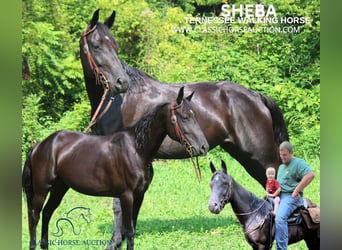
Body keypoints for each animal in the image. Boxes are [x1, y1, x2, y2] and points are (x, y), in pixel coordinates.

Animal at [22, 86, 208, 250]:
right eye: (184, 117)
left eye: (193, 116)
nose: (203, 147)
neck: (136, 150)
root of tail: (40, 145)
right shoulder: (126, 196)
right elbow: (129, 231)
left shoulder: (139, 195)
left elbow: (132, 229)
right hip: (41, 190)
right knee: (34, 216)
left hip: (60, 188)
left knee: (47, 213)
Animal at [79, 9, 288, 248]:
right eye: (97, 46)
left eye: (115, 46)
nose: (121, 82)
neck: (119, 102)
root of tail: (257, 96)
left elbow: (116, 205)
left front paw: (114, 242)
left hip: (262, 157)